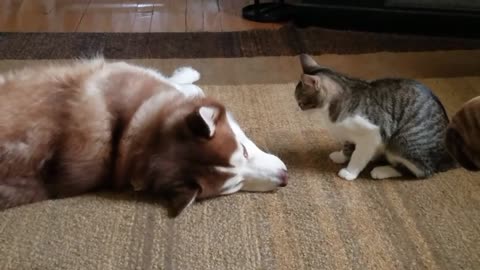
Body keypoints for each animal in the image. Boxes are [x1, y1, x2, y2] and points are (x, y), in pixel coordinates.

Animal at [294, 53, 456, 180]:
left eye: (301, 102)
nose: (298, 109)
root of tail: (448, 157)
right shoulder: (348, 133)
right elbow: (347, 145)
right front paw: (341, 156)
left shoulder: (373, 133)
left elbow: (358, 155)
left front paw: (350, 172)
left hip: (401, 142)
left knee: (422, 171)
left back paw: (382, 170)